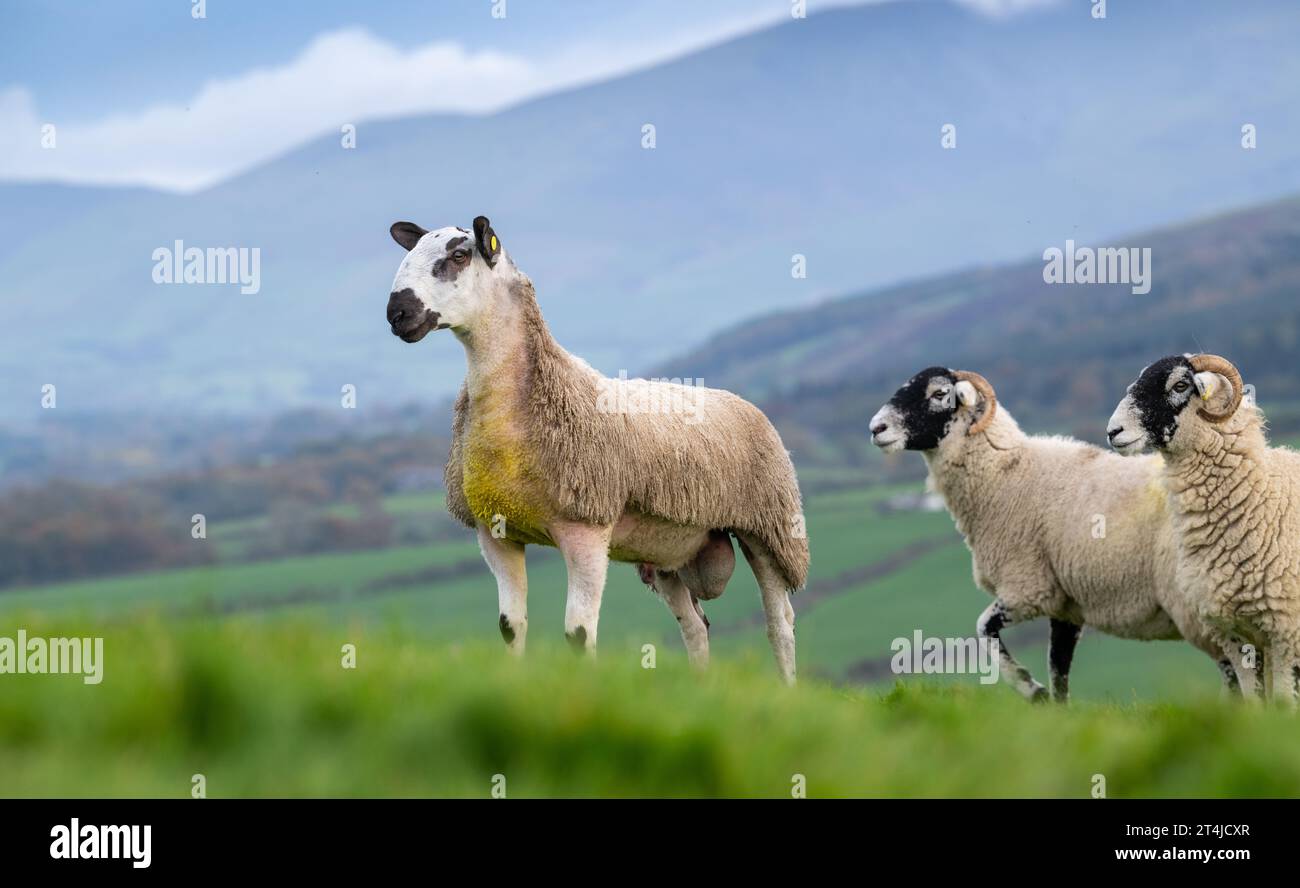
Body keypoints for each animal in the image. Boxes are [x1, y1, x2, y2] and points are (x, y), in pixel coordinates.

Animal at [379, 218, 806, 686]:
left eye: (458, 255)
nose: (396, 313)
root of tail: (741, 400)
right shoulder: (495, 532)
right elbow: (511, 627)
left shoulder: (586, 529)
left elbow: (578, 635)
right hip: (667, 548)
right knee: (696, 625)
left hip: (770, 528)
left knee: (779, 623)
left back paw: (786, 691)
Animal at [868, 366, 1232, 702]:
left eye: (939, 393)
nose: (875, 428)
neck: (1004, 472)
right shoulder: (1065, 608)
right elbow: (1058, 672)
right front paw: (1054, 709)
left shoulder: (1028, 587)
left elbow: (983, 628)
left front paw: (1030, 688)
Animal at [1107, 353, 1300, 702]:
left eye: (1180, 385)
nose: (1113, 431)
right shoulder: (1232, 634)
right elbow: (1254, 703)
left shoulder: (1284, 631)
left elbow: (1282, 703)